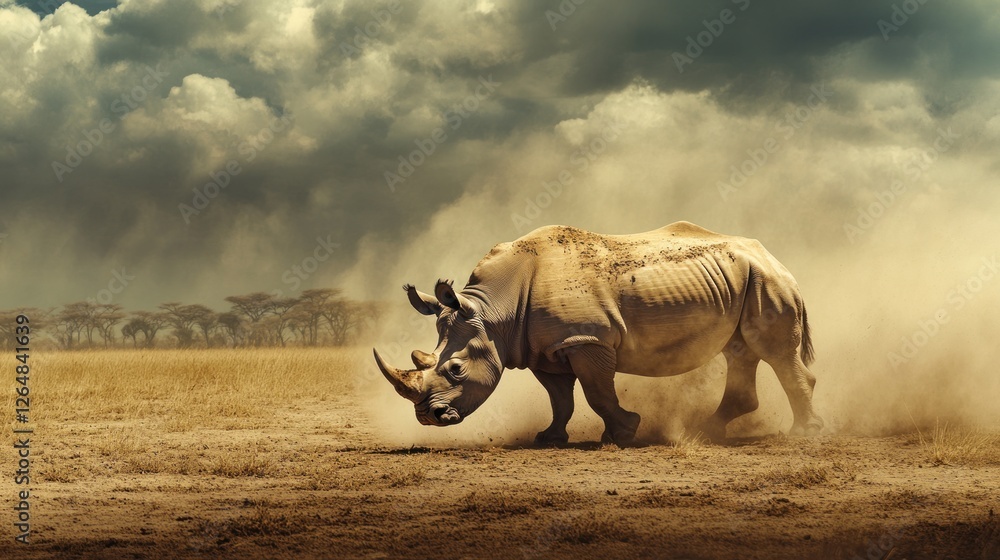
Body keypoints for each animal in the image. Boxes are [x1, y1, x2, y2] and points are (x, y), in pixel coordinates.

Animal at [374, 222, 823, 445]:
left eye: (455, 370)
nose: (428, 417)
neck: (494, 310)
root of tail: (773, 256)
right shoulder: (543, 349)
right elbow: (560, 398)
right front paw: (548, 439)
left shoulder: (586, 341)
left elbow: (596, 392)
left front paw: (624, 432)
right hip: (744, 278)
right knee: (740, 352)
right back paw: (705, 432)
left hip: (765, 280)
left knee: (774, 353)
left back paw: (803, 435)